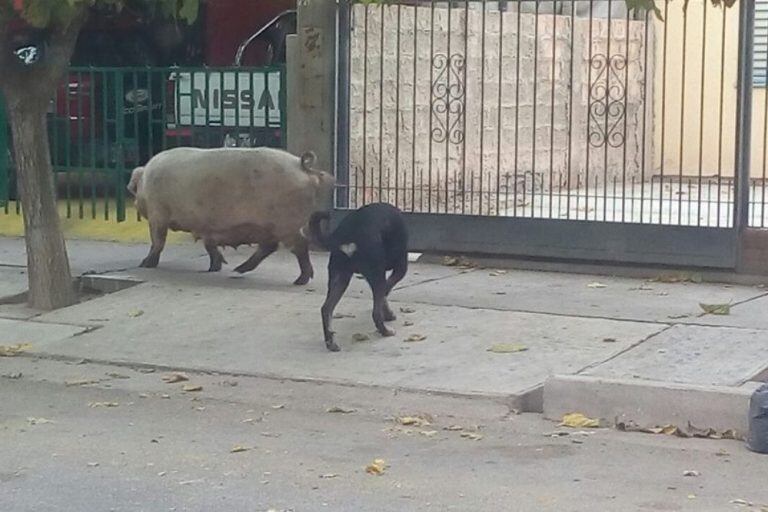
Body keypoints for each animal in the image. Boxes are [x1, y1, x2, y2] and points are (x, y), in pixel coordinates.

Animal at [127, 146, 336, 286]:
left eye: (134, 191)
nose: (134, 203)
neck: (145, 182)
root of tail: (302, 166)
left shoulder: (157, 214)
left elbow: (157, 241)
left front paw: (144, 265)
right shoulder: (205, 226)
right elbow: (209, 245)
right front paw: (214, 267)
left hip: (285, 224)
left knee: (299, 245)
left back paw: (299, 280)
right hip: (272, 226)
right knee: (270, 247)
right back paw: (238, 270)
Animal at [308, 202, 412, 350]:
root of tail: (346, 235)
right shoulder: (400, 268)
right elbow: (386, 291)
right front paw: (387, 314)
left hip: (340, 277)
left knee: (326, 309)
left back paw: (331, 342)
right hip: (375, 273)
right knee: (375, 313)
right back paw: (385, 331)